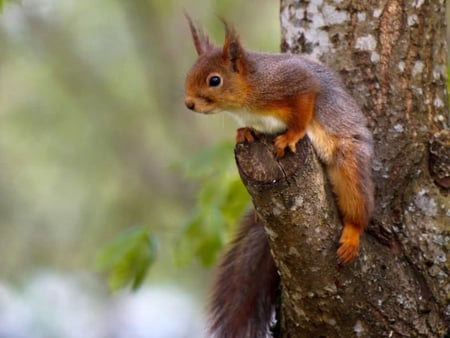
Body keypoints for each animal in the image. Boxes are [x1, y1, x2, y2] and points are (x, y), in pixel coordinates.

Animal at [184, 15, 376, 338]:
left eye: (214, 80)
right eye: (190, 73)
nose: (188, 104)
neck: (248, 94)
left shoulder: (293, 83)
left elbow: (305, 106)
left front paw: (291, 137)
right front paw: (244, 132)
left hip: (348, 164)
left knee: (358, 201)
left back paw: (352, 231)